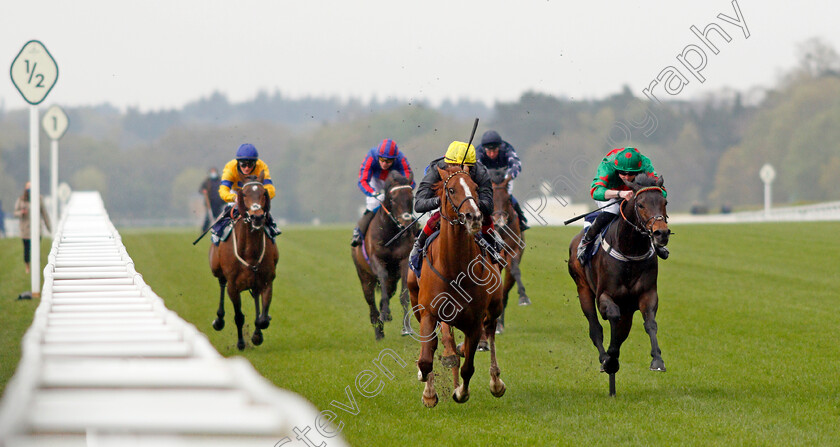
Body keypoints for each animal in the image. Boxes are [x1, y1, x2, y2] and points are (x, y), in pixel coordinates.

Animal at [209, 172, 278, 350]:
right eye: (244, 194)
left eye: (263, 193)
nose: (257, 216)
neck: (250, 252)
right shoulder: (233, 286)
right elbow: (239, 317)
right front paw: (241, 342)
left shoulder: (267, 281)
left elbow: (263, 318)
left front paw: (257, 335)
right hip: (217, 269)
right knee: (221, 283)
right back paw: (219, 320)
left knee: (256, 298)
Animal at [350, 172, 416, 340]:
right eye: (392, 199)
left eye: (411, 197)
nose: (406, 225)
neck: (391, 234)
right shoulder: (376, 259)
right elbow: (383, 277)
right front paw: (385, 314)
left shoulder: (404, 260)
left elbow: (404, 294)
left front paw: (406, 328)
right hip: (364, 276)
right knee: (371, 302)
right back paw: (378, 330)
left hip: (393, 278)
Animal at [406, 164, 506, 406]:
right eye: (451, 190)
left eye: (475, 187)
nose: (474, 216)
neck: (454, 269)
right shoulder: (428, 312)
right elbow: (426, 358)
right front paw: (429, 392)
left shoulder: (475, 321)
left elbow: (468, 366)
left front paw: (461, 392)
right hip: (415, 302)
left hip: (495, 305)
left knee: (490, 330)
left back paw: (496, 382)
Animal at [568, 174, 672, 396]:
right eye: (640, 204)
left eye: (664, 202)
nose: (661, 234)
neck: (630, 250)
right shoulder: (605, 296)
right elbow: (612, 319)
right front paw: (610, 359)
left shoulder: (647, 294)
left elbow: (650, 323)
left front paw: (657, 360)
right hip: (583, 289)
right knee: (595, 329)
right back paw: (604, 359)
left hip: (627, 309)